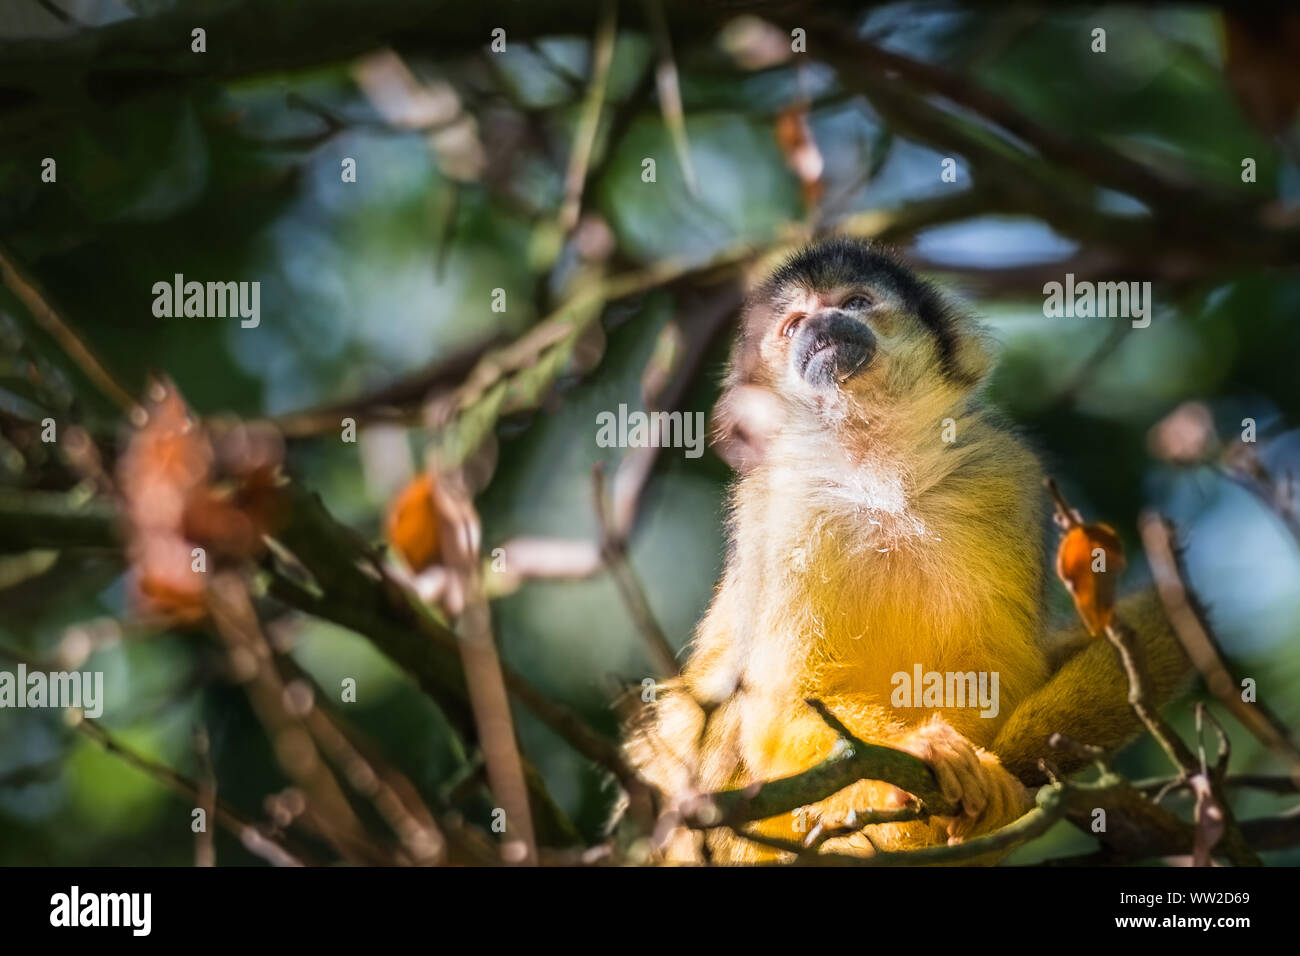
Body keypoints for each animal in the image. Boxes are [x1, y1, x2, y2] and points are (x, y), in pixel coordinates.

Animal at [624, 238, 1190, 858]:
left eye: (855, 302)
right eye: (793, 325)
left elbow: (990, 676)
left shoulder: (1003, 471)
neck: (877, 473)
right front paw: (917, 753)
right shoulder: (777, 511)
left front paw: (988, 784)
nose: (819, 324)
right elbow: (780, 708)